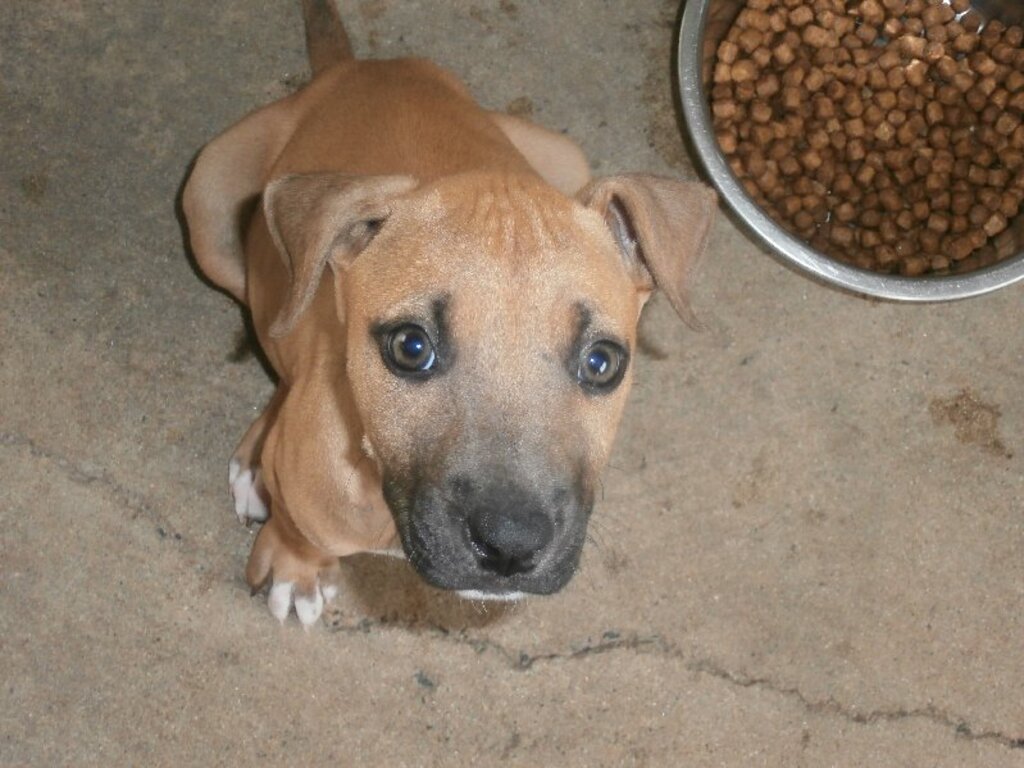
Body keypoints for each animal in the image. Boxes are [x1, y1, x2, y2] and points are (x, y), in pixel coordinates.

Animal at [182, 0, 716, 625]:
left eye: (602, 363)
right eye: (411, 348)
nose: (511, 545)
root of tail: (359, 67)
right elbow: (300, 527)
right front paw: (296, 563)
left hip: (562, 154)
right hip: (209, 206)